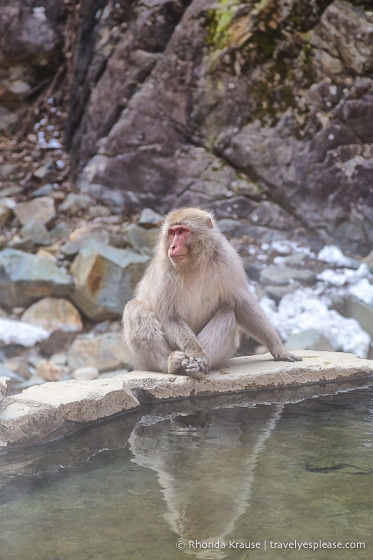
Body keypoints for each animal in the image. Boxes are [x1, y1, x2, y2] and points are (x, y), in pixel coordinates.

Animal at [120, 208, 300, 378]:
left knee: (227, 312)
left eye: (181, 231)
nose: (172, 246)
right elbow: (170, 316)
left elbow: (242, 305)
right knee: (135, 308)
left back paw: (196, 368)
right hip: (142, 359)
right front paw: (197, 353)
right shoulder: (165, 271)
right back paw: (171, 363)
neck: (195, 262)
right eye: (171, 233)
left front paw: (278, 349)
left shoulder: (228, 261)